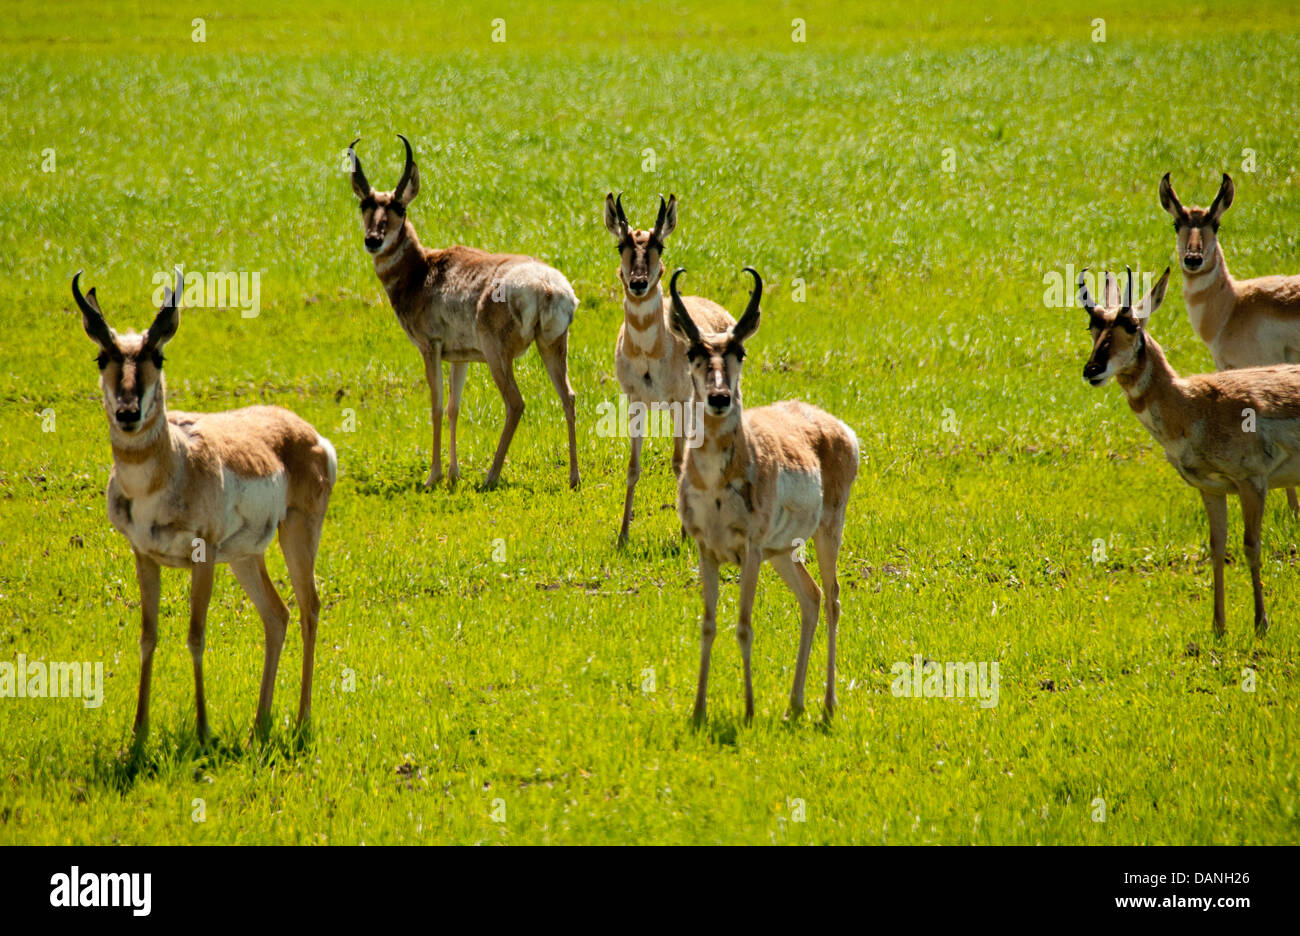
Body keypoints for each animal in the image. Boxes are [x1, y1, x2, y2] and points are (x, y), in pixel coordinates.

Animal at [74, 270, 336, 742]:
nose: (128, 413)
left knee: (309, 607)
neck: (167, 470)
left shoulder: (204, 556)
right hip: (246, 557)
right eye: (102, 357)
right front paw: (139, 731)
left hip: (296, 537)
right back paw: (259, 723)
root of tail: (311, 435)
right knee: (277, 614)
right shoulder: (144, 556)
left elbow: (196, 635)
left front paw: (202, 728)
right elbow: (148, 635)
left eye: (157, 356)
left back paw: (302, 720)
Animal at [349, 135, 580, 489]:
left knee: (516, 403)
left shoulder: (430, 348)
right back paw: (573, 478)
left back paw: (490, 477)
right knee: (568, 397)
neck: (423, 269)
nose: (373, 240)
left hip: (498, 356)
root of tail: (548, 285)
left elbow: (435, 406)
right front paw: (453, 474)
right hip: (552, 347)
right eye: (365, 205)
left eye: (399, 207)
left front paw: (433, 476)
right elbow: (453, 407)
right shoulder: (460, 358)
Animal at [603, 192, 735, 543]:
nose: (638, 283)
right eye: (621, 244)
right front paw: (622, 536)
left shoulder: (679, 403)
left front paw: (686, 535)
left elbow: (678, 462)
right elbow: (633, 467)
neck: (650, 352)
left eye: (659, 245)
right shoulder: (635, 403)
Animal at [667, 268, 859, 723]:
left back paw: (828, 704)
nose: (719, 398)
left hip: (825, 533)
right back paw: (794, 704)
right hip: (783, 552)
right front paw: (698, 710)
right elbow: (708, 624)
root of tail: (839, 428)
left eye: (740, 351)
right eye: (693, 351)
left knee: (833, 599)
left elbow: (744, 623)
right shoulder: (707, 551)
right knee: (811, 597)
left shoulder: (749, 550)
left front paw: (750, 710)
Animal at [1080, 265, 1300, 638]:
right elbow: (1217, 548)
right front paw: (1218, 626)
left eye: (1132, 325)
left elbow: (1251, 546)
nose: (1092, 370)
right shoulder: (1211, 489)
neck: (1193, 405)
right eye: (1092, 326)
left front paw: (1261, 623)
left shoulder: (1253, 482)